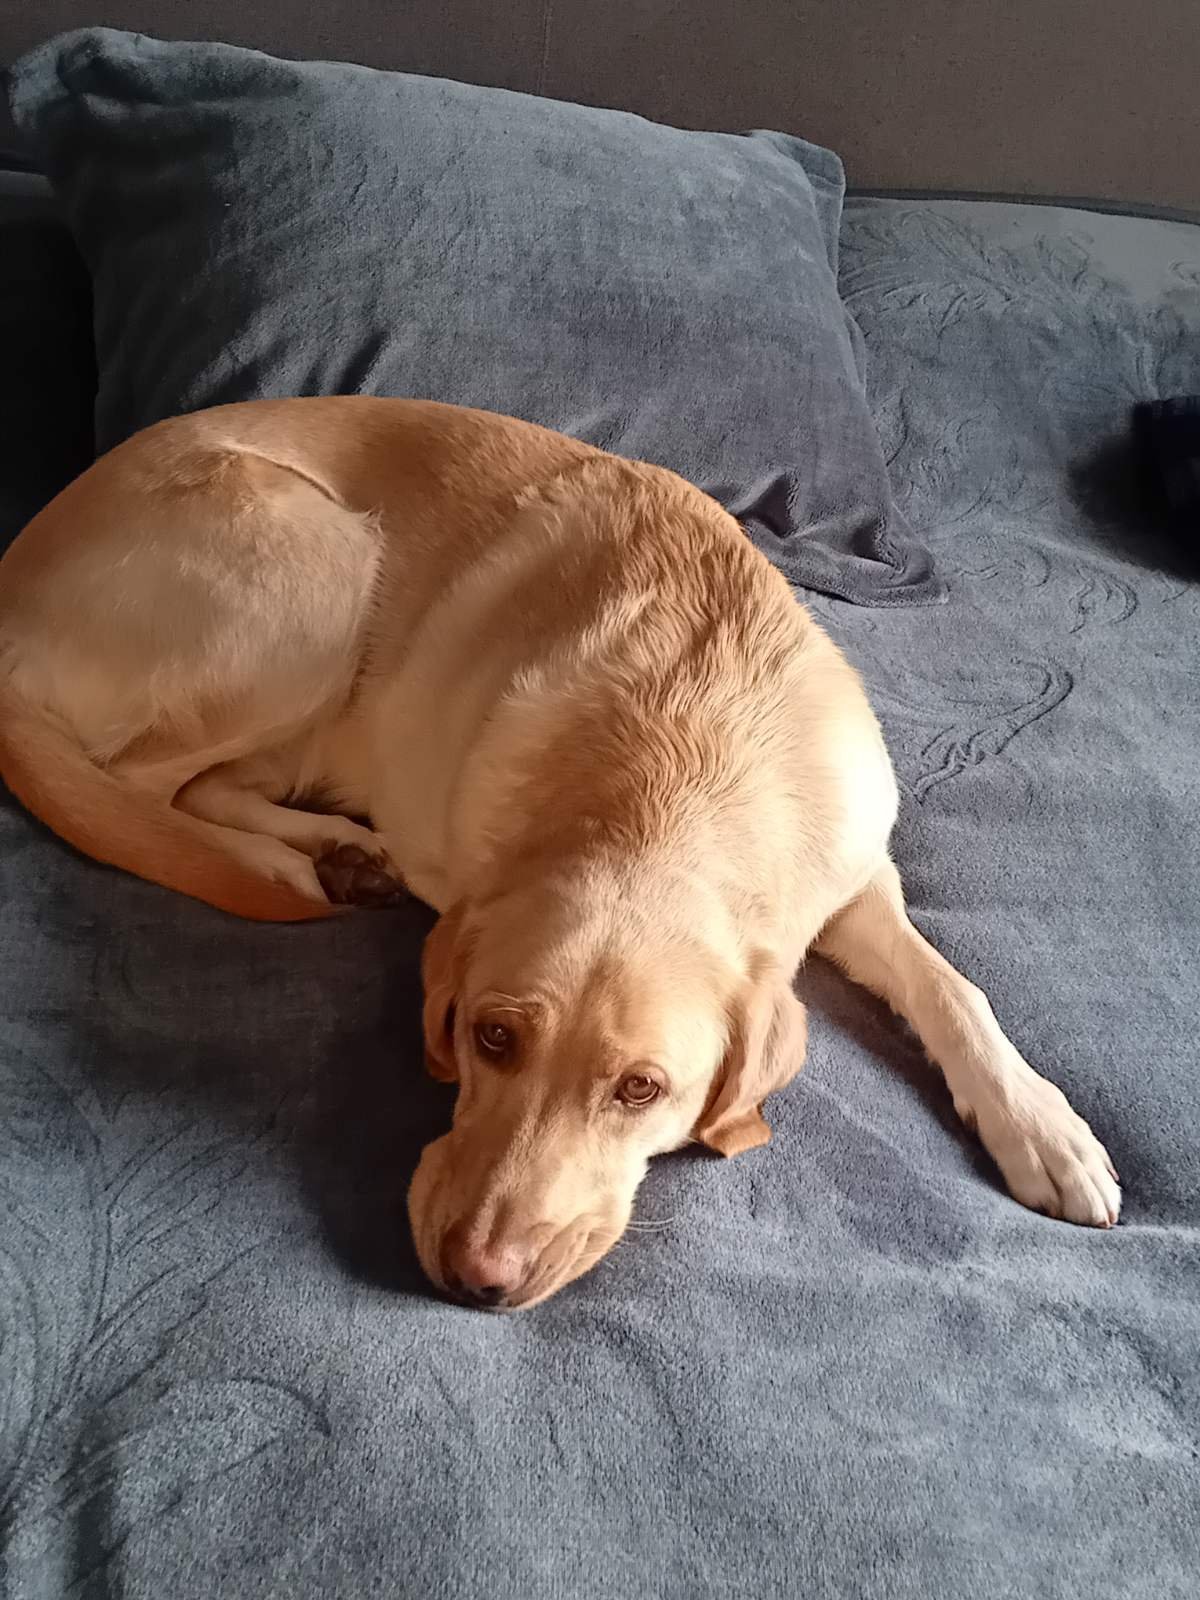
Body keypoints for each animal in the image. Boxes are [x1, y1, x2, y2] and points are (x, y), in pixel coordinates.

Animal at [0, 397, 1120, 1309]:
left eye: (641, 1090)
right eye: (490, 1038)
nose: (474, 1278)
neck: (678, 766)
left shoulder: (857, 879)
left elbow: (952, 987)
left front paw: (1044, 1127)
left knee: (201, 785)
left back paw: (337, 849)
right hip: (319, 566)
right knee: (143, 787)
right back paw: (293, 863)